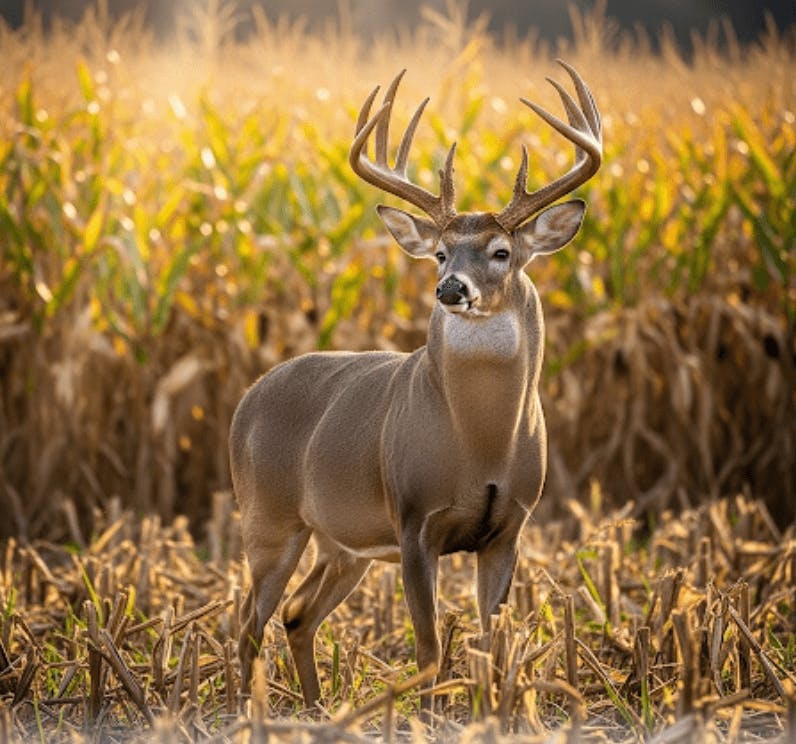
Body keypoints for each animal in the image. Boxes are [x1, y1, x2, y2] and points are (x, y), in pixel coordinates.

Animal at [231, 59, 602, 716]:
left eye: (501, 251)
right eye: (440, 253)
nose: (451, 288)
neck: (481, 442)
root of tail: (245, 402)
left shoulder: (510, 525)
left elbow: (491, 646)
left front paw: (492, 713)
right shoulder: (413, 519)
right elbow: (430, 651)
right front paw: (428, 716)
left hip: (341, 543)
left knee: (297, 615)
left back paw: (315, 709)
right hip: (268, 519)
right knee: (248, 622)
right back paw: (253, 713)